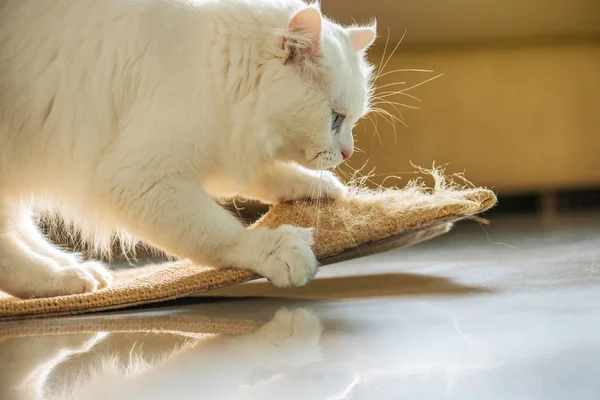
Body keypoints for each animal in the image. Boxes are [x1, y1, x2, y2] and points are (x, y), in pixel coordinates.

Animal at [0, 0, 376, 298]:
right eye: (335, 120)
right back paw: (66, 277)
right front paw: (274, 250)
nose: (348, 152)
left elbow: (264, 177)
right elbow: (221, 235)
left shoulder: (222, 154)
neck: (216, 71)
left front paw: (321, 188)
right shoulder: (137, 181)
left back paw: (76, 268)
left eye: (352, 121)